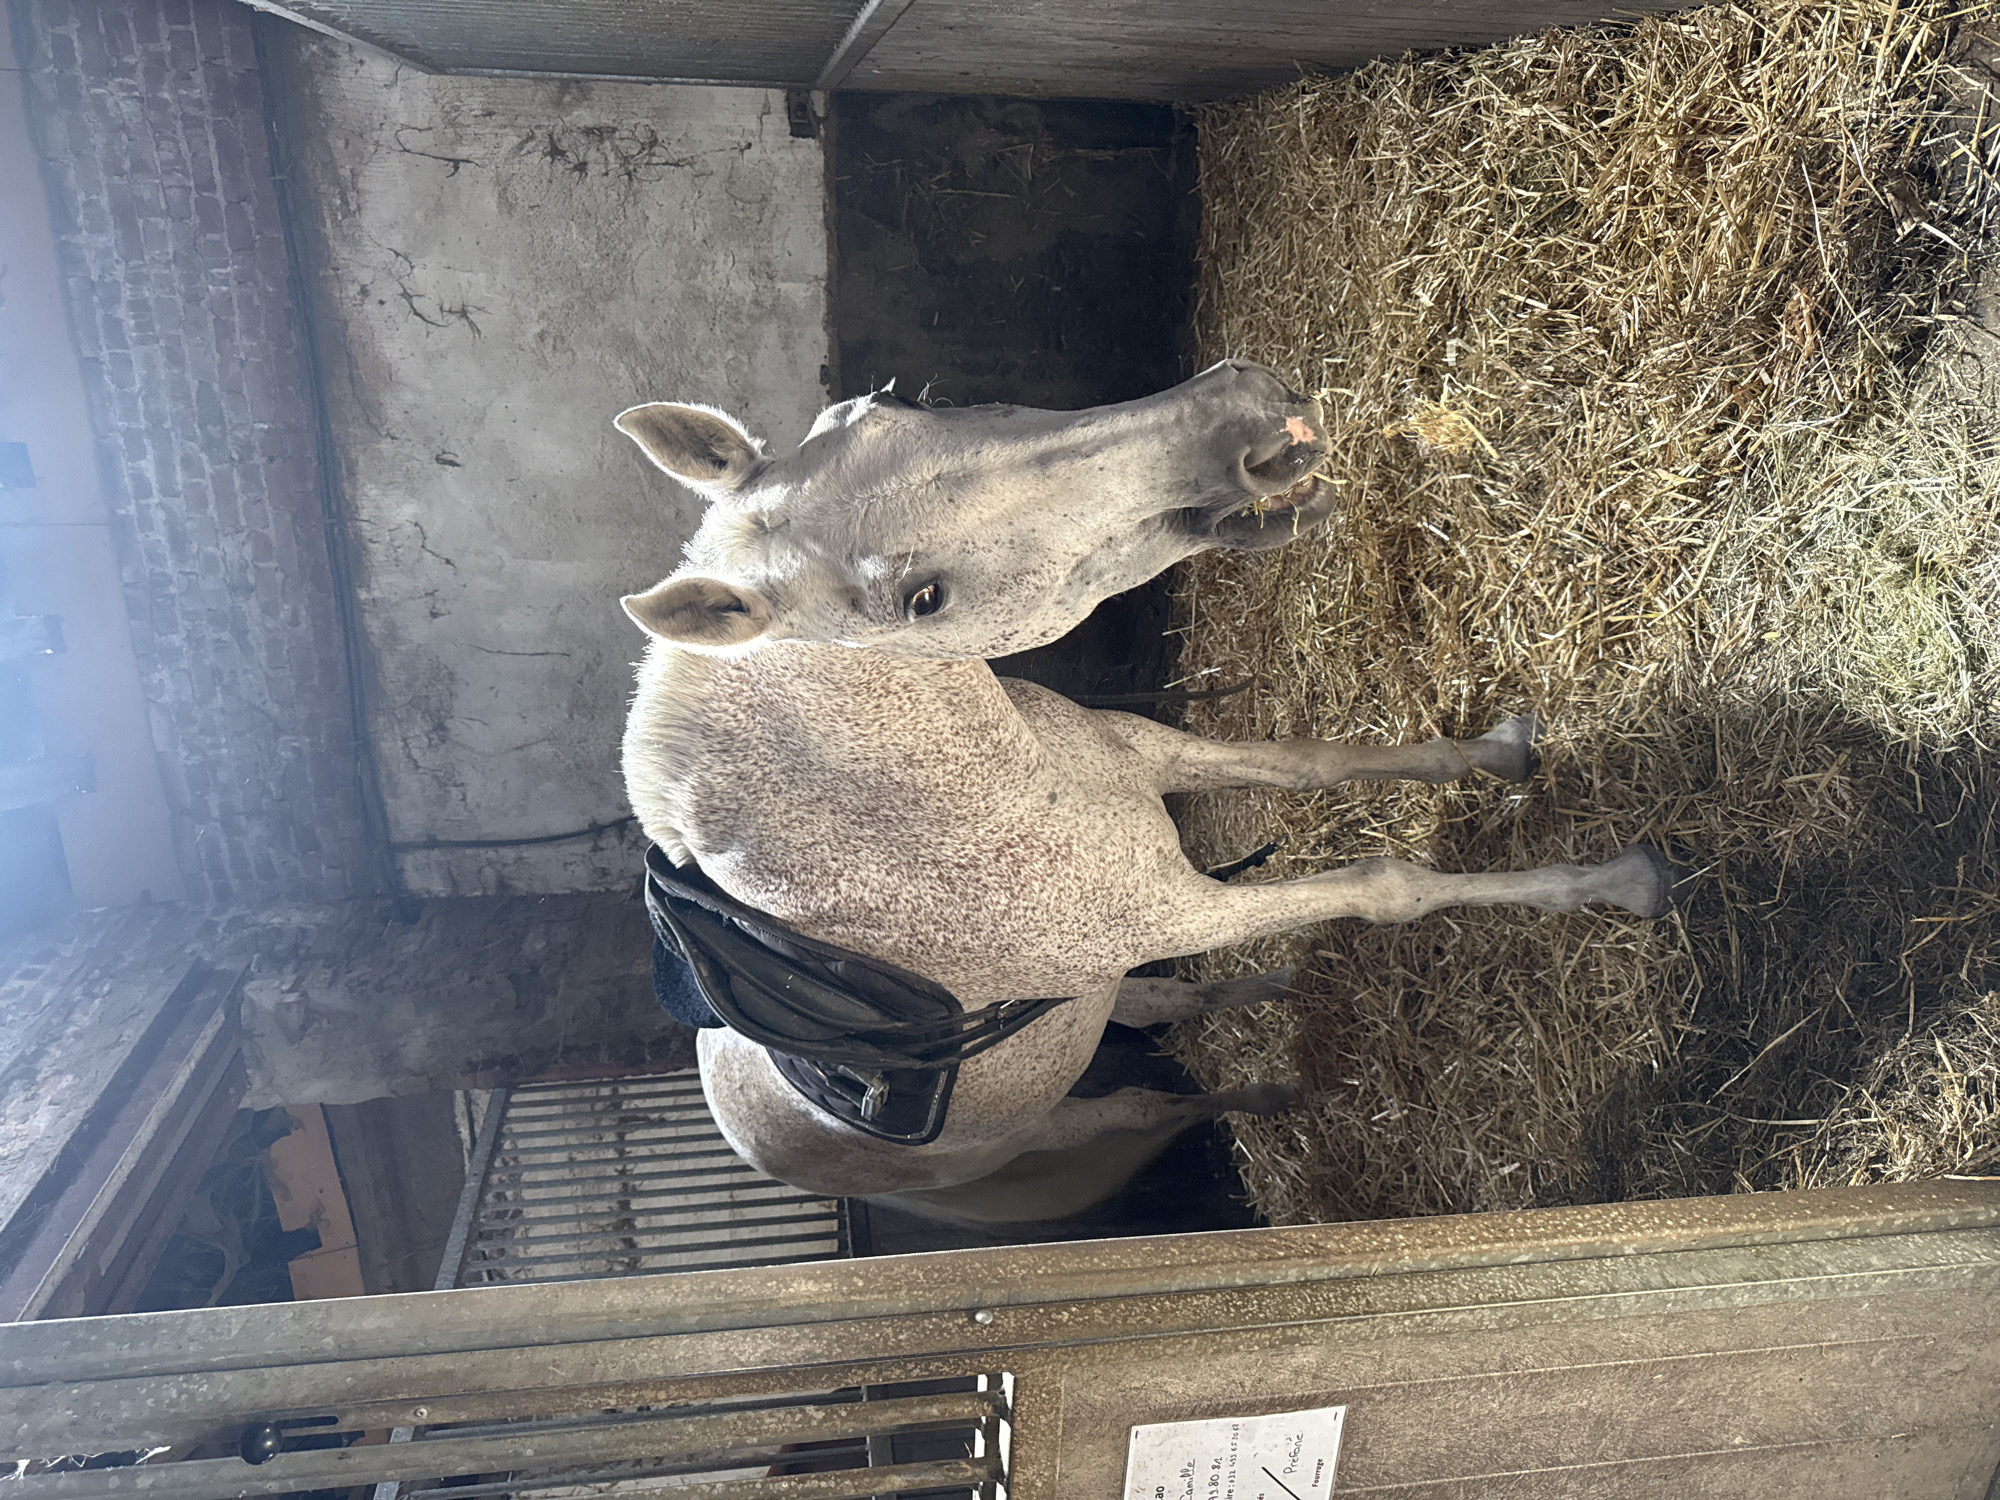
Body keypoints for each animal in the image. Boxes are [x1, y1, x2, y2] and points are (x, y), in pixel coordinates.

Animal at [615, 360, 1674, 1220]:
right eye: (924, 599)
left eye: (901, 402)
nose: (1247, 421)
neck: (930, 814)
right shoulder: (1181, 910)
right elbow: (1388, 889)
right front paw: (1613, 882)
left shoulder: (1144, 753)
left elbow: (1311, 761)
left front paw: (1498, 752)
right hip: (1067, 1118)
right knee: (1149, 1098)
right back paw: (1269, 1094)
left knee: (1162, 1004)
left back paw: (1274, 986)